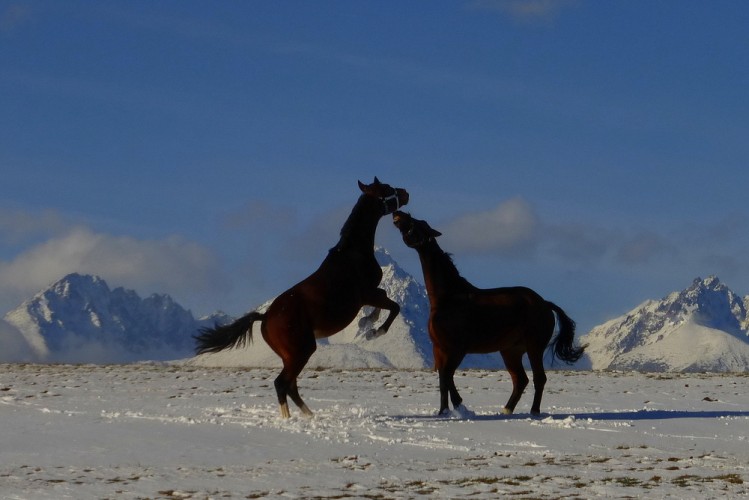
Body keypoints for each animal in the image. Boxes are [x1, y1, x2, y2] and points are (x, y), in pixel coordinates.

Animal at [196, 179, 406, 418]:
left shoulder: (370, 294)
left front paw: (367, 322)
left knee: (290, 386)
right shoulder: (366, 294)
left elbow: (385, 300)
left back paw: (308, 415)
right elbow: (393, 306)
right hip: (301, 352)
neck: (353, 253)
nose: (405, 193)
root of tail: (265, 317)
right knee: (282, 384)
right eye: (387, 188)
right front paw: (373, 331)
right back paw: (291, 419)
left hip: (290, 356)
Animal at [392, 211, 584, 418]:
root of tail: (544, 303)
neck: (448, 298)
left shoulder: (456, 350)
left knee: (539, 378)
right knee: (520, 380)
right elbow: (443, 379)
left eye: (416, 223)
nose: (398, 214)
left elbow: (447, 377)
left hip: (534, 348)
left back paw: (534, 412)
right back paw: (506, 410)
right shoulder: (439, 349)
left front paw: (458, 406)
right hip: (511, 351)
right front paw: (444, 411)